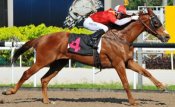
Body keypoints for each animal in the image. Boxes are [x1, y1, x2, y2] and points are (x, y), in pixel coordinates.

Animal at [2, 8, 170, 105]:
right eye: (156, 22)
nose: (167, 36)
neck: (121, 37)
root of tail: (41, 38)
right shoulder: (118, 63)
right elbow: (126, 83)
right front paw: (133, 102)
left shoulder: (127, 61)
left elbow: (146, 72)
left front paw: (162, 87)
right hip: (43, 60)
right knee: (27, 73)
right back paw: (9, 92)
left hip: (59, 63)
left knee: (44, 79)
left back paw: (47, 100)